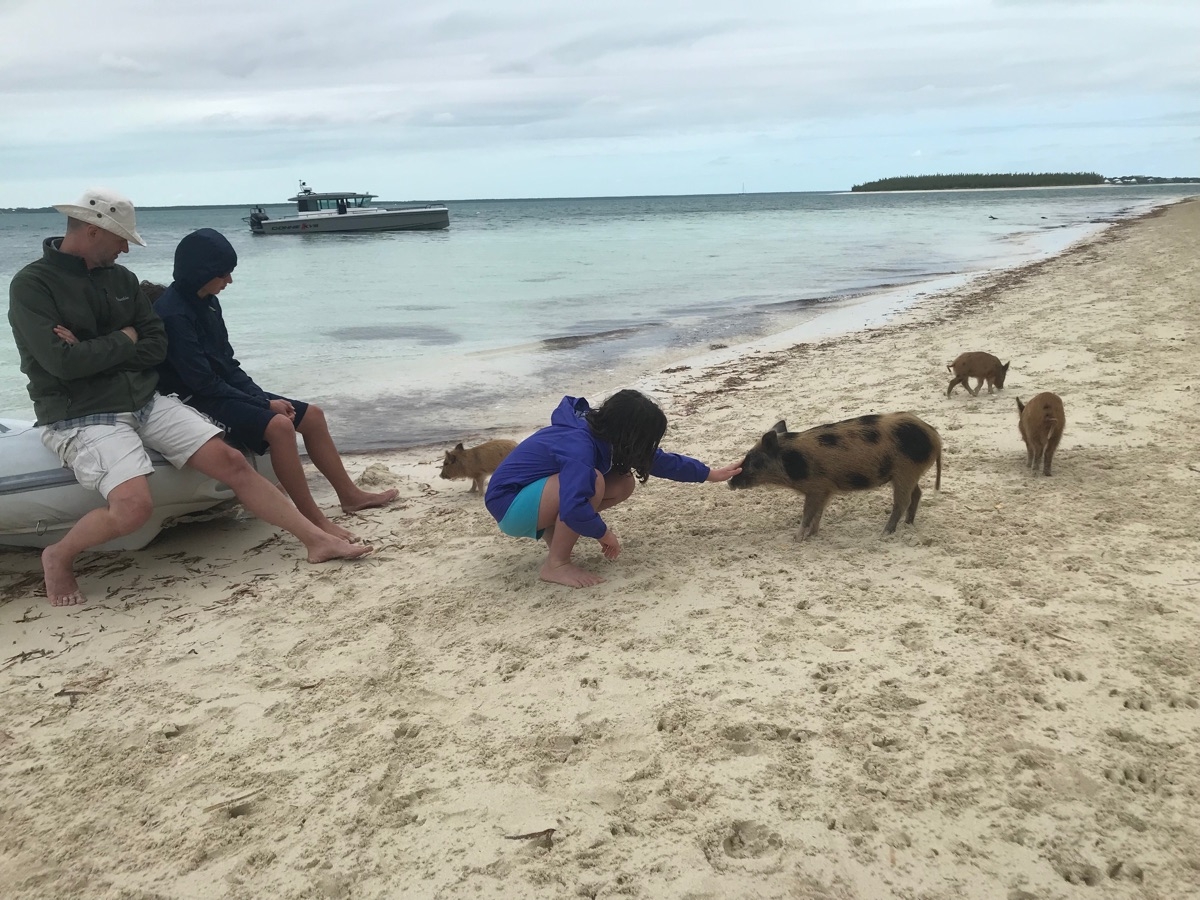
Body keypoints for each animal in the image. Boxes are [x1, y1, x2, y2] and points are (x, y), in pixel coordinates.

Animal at [724, 412, 940, 540]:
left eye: (752, 460)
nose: (729, 482)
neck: (791, 462)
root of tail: (934, 435)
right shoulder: (824, 490)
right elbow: (818, 514)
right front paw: (812, 535)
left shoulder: (816, 487)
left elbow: (807, 514)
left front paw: (796, 538)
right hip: (908, 473)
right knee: (917, 494)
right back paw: (908, 524)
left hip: (906, 471)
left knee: (902, 502)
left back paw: (884, 533)